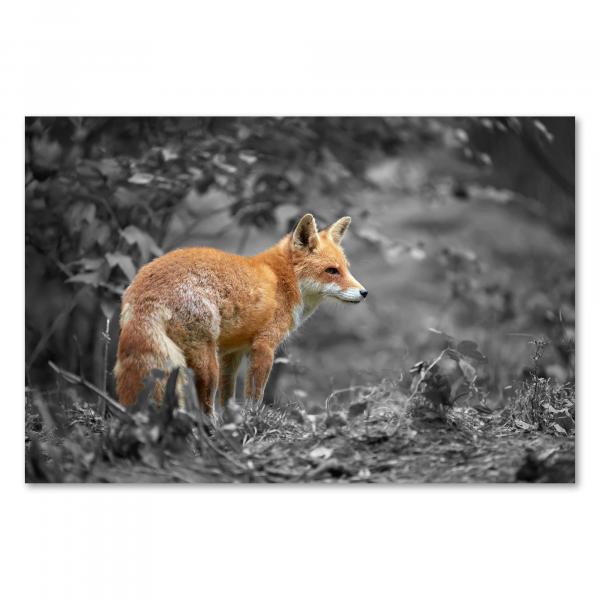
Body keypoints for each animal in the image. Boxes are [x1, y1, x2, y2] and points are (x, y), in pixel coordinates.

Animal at [112, 214, 366, 412]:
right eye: (331, 271)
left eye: (346, 269)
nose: (364, 293)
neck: (283, 281)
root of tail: (144, 284)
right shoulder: (264, 346)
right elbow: (255, 396)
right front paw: (251, 421)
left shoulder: (232, 352)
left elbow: (228, 398)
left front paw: (232, 424)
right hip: (205, 362)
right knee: (204, 407)